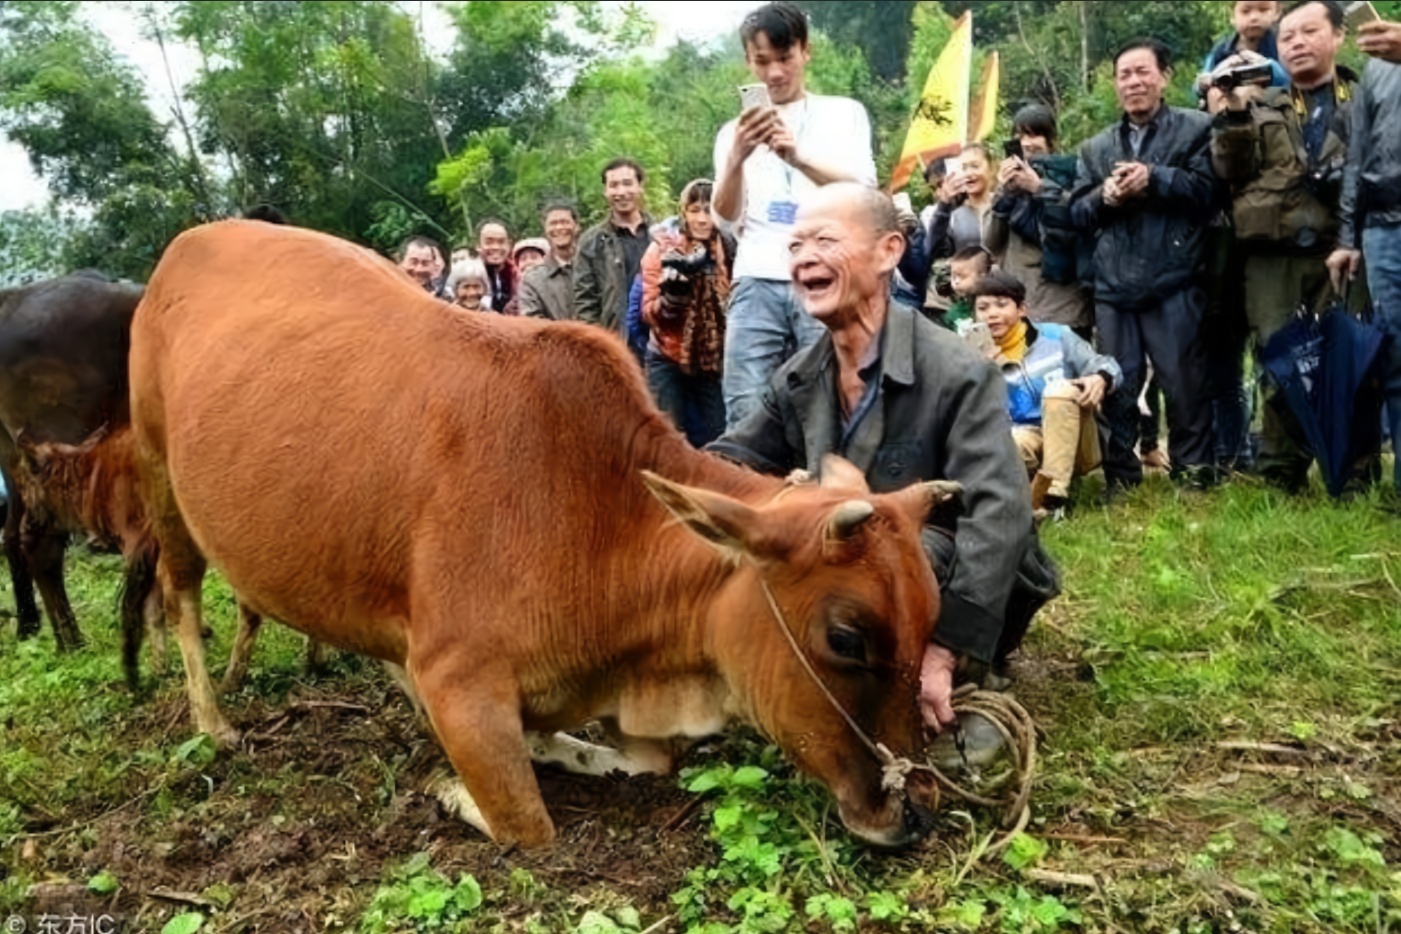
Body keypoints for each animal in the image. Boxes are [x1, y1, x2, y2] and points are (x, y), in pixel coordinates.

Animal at [131, 222, 958, 851]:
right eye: (845, 636)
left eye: (928, 619)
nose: (915, 810)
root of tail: (187, 244)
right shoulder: (459, 683)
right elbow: (526, 825)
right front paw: (448, 786)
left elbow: (627, 762)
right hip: (159, 476)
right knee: (179, 600)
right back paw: (214, 720)